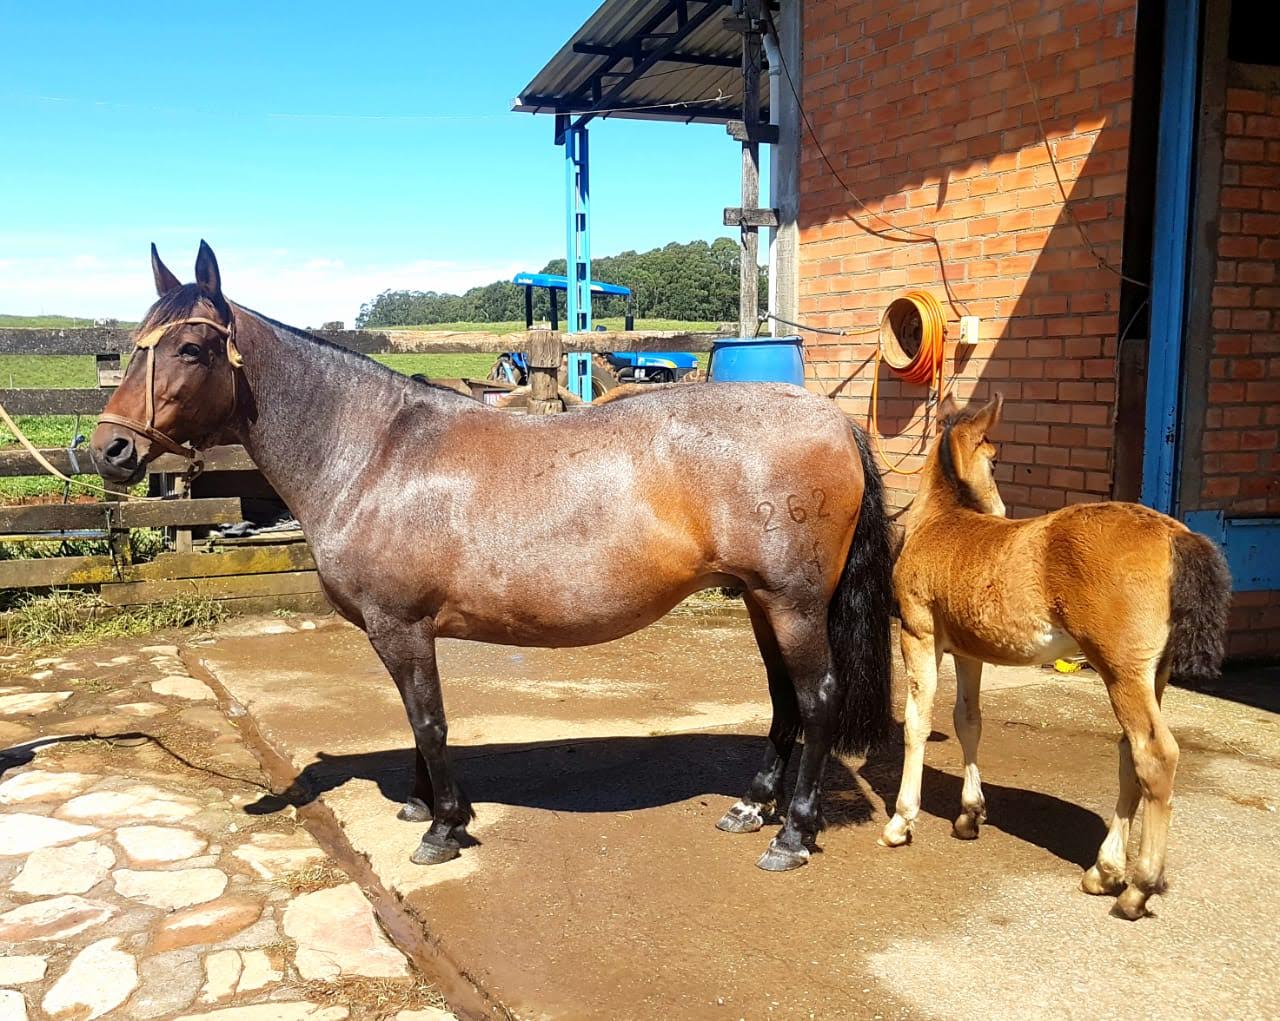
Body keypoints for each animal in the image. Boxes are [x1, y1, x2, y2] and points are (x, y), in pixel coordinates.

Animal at [90, 242, 895, 872]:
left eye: (190, 349)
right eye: (134, 345)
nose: (109, 449)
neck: (374, 452)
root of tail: (831, 418)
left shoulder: (401, 626)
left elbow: (430, 720)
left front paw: (446, 826)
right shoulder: (404, 632)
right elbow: (416, 719)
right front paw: (420, 805)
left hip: (792, 603)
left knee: (818, 700)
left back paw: (792, 834)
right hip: (762, 599)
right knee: (785, 700)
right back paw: (753, 807)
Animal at [879, 393, 1231, 918]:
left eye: (996, 458)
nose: (1001, 509)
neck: (942, 523)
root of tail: (1175, 535)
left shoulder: (918, 633)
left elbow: (917, 723)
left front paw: (902, 822)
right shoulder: (967, 651)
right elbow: (968, 720)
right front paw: (969, 815)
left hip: (1121, 671)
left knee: (1154, 754)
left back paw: (1137, 887)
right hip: (1153, 674)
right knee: (1129, 753)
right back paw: (1104, 871)